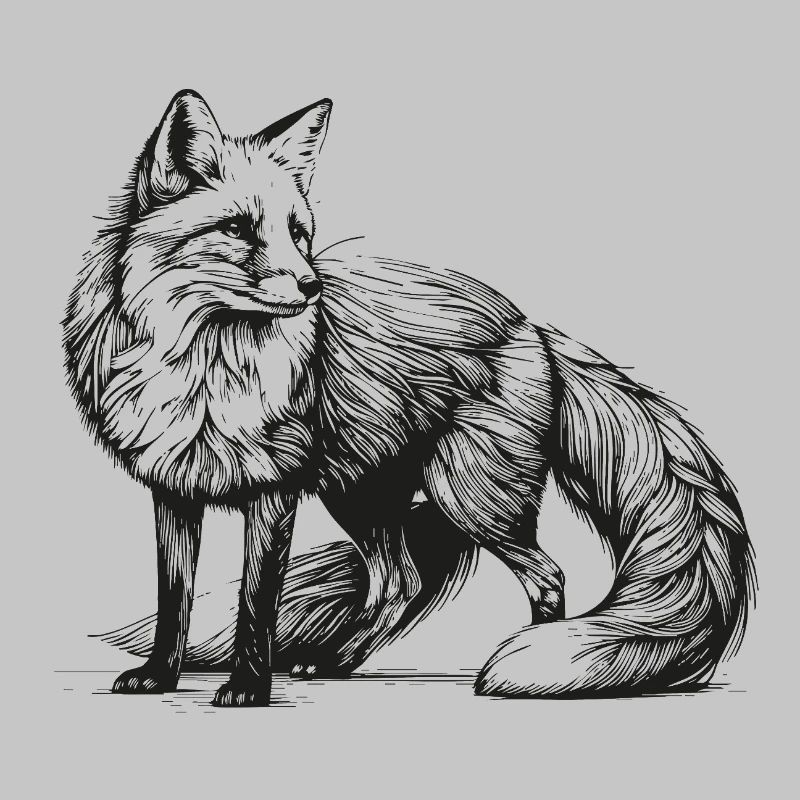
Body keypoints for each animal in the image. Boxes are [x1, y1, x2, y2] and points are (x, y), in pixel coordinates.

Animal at [63, 90, 756, 707]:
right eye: (238, 228)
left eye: (298, 233)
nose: (312, 287)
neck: (206, 370)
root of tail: (529, 322)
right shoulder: (174, 489)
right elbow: (173, 598)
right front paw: (160, 676)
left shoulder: (275, 492)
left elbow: (255, 602)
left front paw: (247, 689)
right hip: (360, 494)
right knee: (398, 582)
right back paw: (336, 662)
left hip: (470, 498)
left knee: (544, 574)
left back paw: (526, 652)